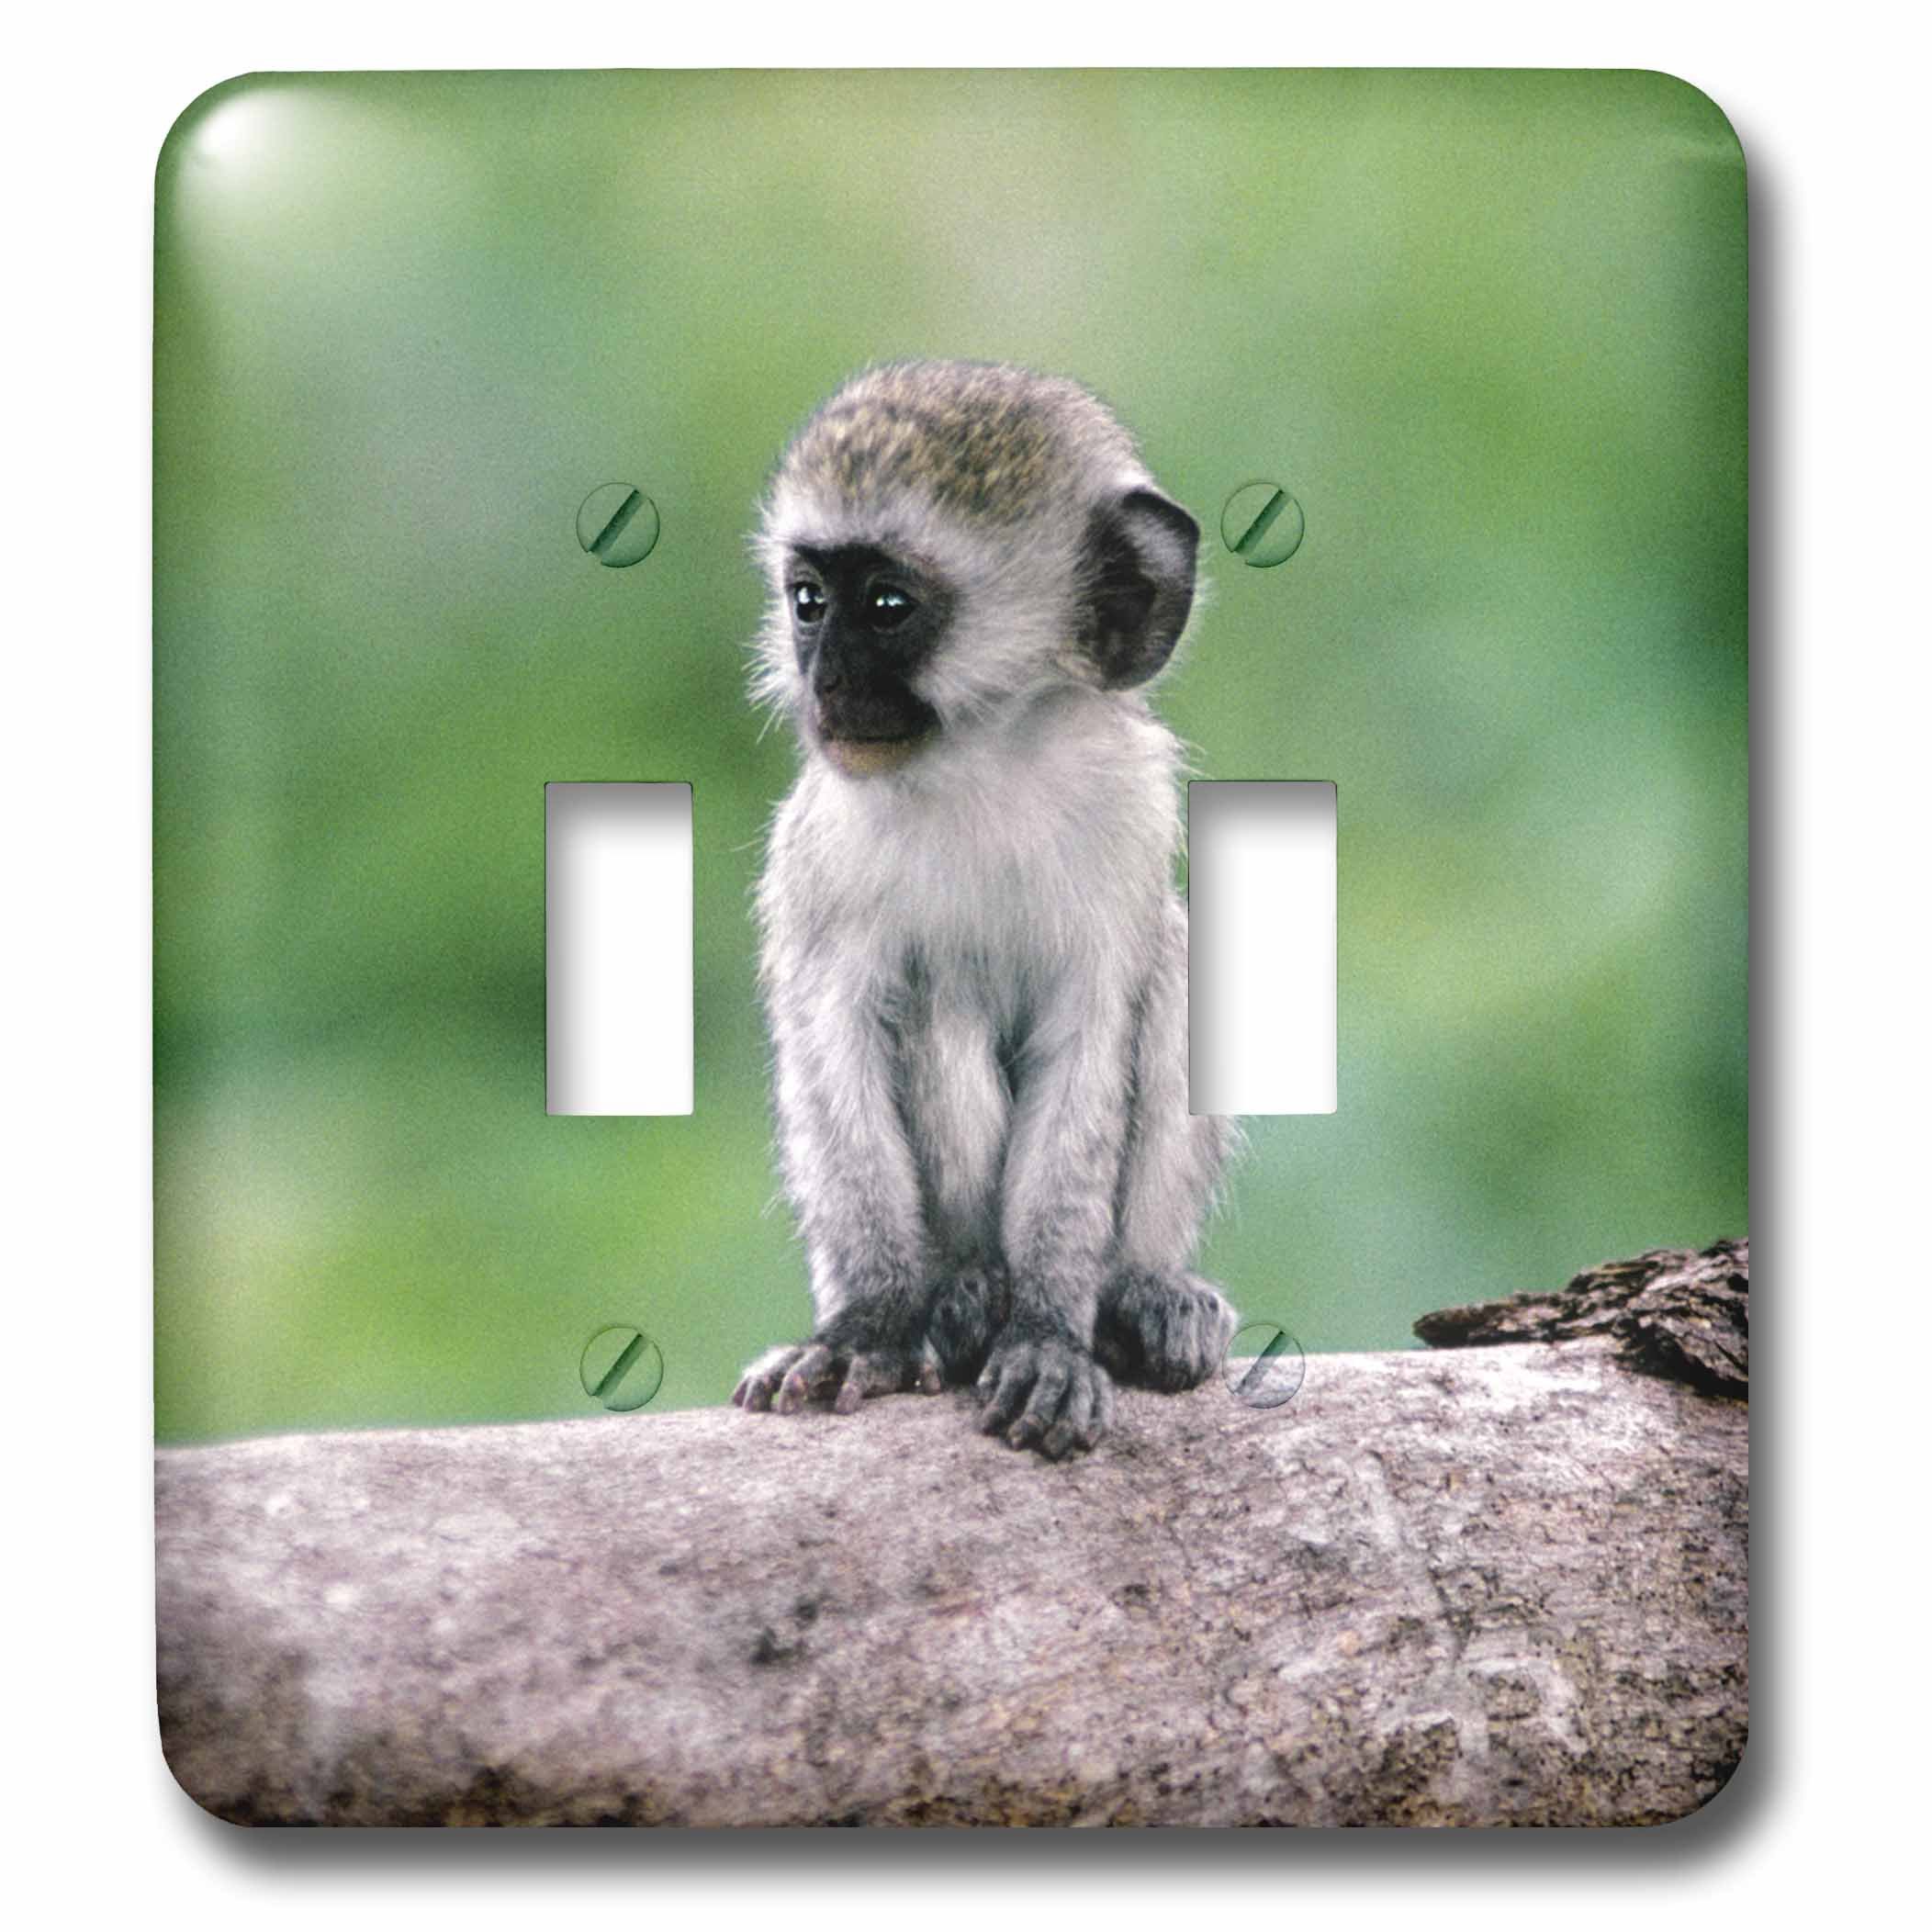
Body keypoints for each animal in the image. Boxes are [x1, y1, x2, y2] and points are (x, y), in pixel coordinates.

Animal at [731, 360, 1239, 1459]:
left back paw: (1132, 1292)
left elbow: (1090, 1039)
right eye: (807, 601)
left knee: (1175, 961)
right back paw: (961, 1297)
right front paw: (868, 1325)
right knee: (937, 993)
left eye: (885, 606)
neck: (983, 761)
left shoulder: (1129, 819)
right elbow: (833, 1038)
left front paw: (1050, 1333)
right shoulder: (818, 849)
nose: (825, 682)